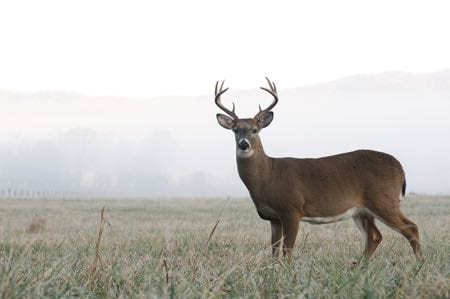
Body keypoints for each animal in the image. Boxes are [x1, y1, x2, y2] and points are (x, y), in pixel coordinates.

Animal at [214, 77, 422, 260]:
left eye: (255, 130)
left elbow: (287, 250)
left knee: (411, 228)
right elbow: (274, 251)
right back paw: (358, 268)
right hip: (362, 210)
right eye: (235, 130)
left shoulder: (291, 209)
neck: (268, 176)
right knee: (375, 236)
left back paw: (419, 265)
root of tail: (400, 167)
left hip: (383, 199)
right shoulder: (274, 218)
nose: (244, 144)